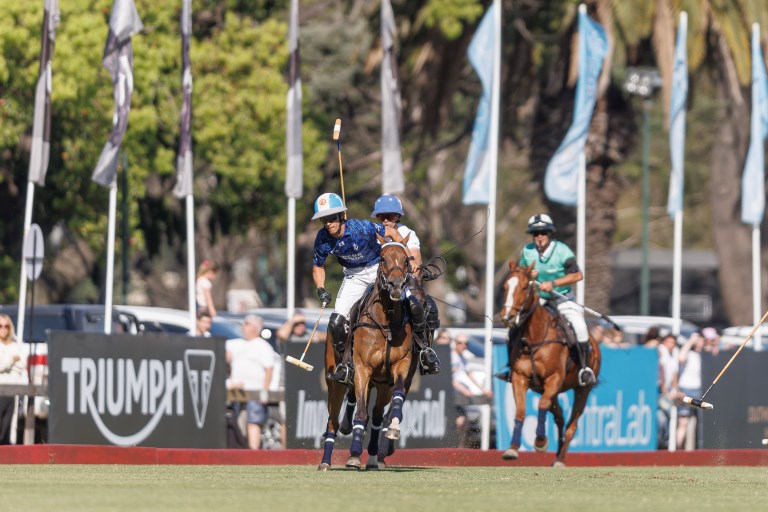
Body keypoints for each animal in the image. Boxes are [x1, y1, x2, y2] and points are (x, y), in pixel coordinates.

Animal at [316, 232, 416, 472]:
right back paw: (325, 461)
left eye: (406, 260)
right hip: (334, 381)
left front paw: (395, 426)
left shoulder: (401, 366)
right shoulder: (362, 368)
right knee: (332, 420)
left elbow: (398, 395)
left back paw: (372, 458)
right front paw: (353, 455)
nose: (396, 286)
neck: (386, 322)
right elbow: (361, 413)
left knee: (378, 416)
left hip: (381, 385)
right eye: (382, 259)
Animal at [498, 262, 600, 466]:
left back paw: (561, 458)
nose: (507, 317)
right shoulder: (520, 377)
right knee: (559, 417)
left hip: (582, 390)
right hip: (544, 389)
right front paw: (512, 448)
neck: (534, 338)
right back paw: (557, 452)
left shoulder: (554, 378)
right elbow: (520, 411)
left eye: (524, 287)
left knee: (571, 424)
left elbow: (542, 405)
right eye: (505, 287)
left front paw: (539, 441)